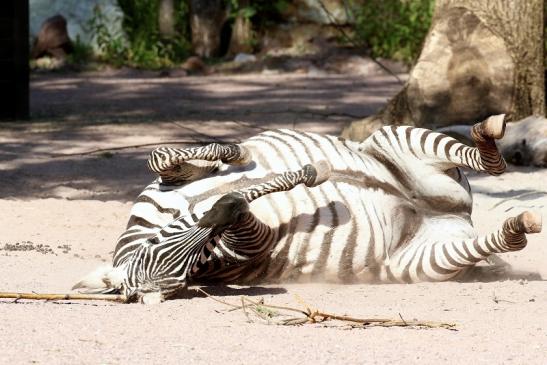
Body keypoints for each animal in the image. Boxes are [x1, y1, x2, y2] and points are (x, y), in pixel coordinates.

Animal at [74, 114, 544, 302]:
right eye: (180, 272)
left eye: (165, 253)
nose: (219, 210)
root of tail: (452, 210)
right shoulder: (248, 247)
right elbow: (250, 212)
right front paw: (299, 175)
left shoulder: (165, 183)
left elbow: (163, 154)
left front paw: (236, 153)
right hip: (426, 261)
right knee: (503, 238)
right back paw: (519, 223)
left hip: (394, 137)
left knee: (492, 162)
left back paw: (488, 134)